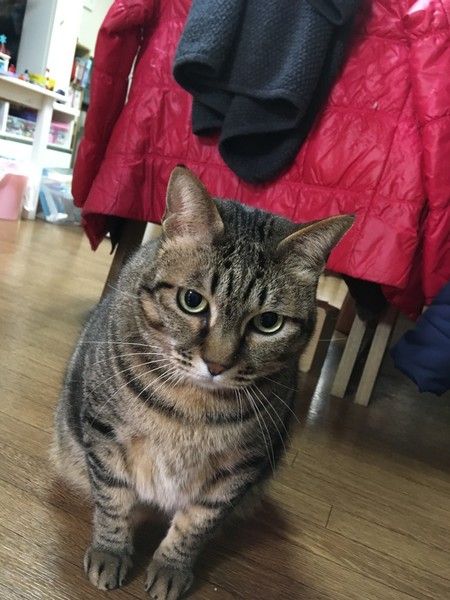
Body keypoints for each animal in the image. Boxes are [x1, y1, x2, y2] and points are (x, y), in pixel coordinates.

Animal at [52, 166, 353, 600]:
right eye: (192, 300)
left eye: (268, 322)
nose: (216, 364)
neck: (191, 406)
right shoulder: (104, 432)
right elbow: (113, 500)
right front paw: (111, 552)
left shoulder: (239, 468)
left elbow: (196, 524)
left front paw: (170, 568)